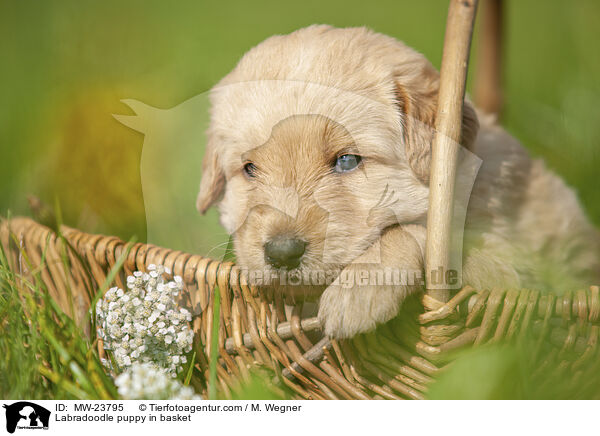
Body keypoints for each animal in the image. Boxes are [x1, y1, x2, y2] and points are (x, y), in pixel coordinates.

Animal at [197, 23, 600, 338]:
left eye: (346, 161)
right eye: (250, 169)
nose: (281, 254)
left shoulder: (512, 265)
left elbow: (413, 230)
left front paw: (355, 295)